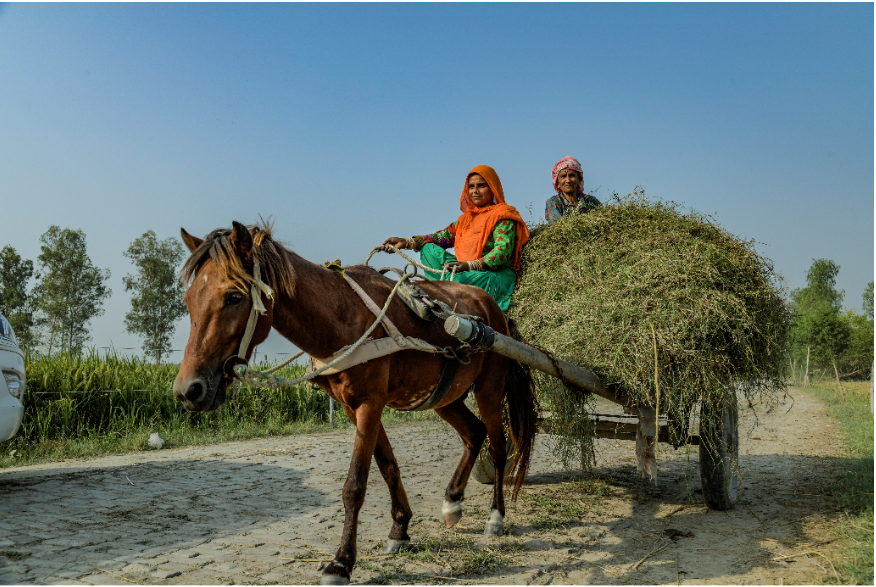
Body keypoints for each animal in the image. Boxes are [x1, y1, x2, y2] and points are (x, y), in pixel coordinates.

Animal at [174, 223, 536, 584]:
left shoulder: (369, 404)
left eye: (234, 297)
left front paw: (341, 562)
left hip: (489, 388)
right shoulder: (353, 407)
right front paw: (399, 528)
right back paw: (452, 502)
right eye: (188, 300)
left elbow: (355, 485)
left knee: (498, 447)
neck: (341, 316)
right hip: (444, 396)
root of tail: (493, 308)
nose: (188, 390)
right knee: (474, 433)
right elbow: (388, 467)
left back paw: (495, 517)